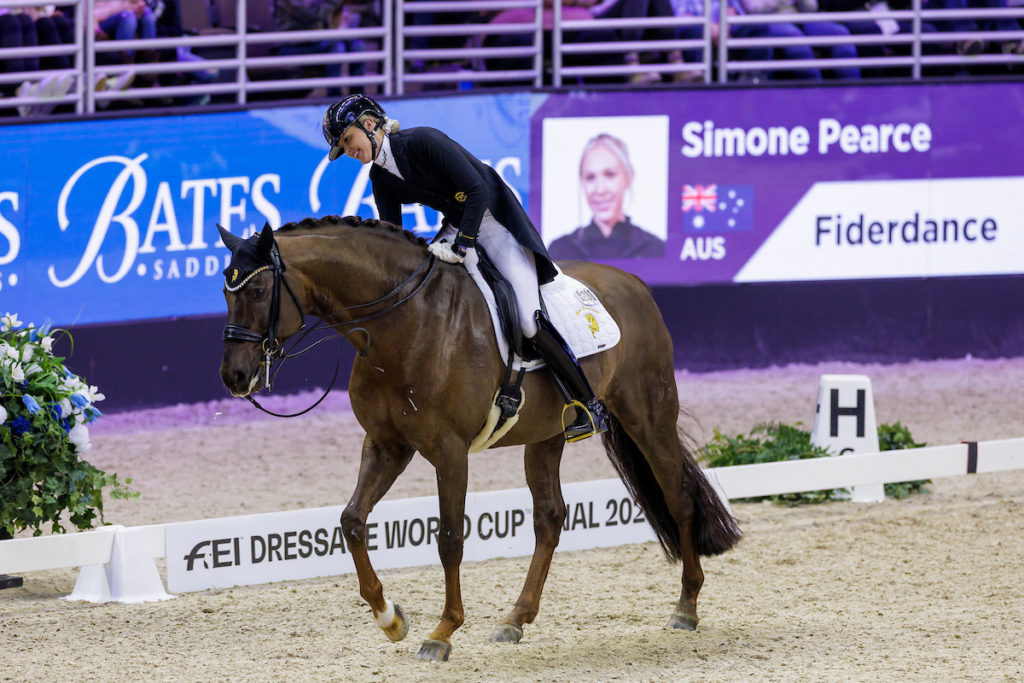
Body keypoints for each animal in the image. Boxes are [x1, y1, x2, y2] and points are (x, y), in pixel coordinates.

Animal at [220, 218, 741, 663]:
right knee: (550, 518)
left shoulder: (449, 452)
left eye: (260, 290)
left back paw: (686, 606)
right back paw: (515, 619)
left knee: (677, 496)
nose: (234, 377)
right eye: (225, 291)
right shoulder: (387, 444)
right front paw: (391, 619)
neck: (403, 323)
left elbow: (450, 539)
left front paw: (442, 633)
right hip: (548, 435)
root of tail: (632, 281)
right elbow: (351, 521)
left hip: (647, 415)